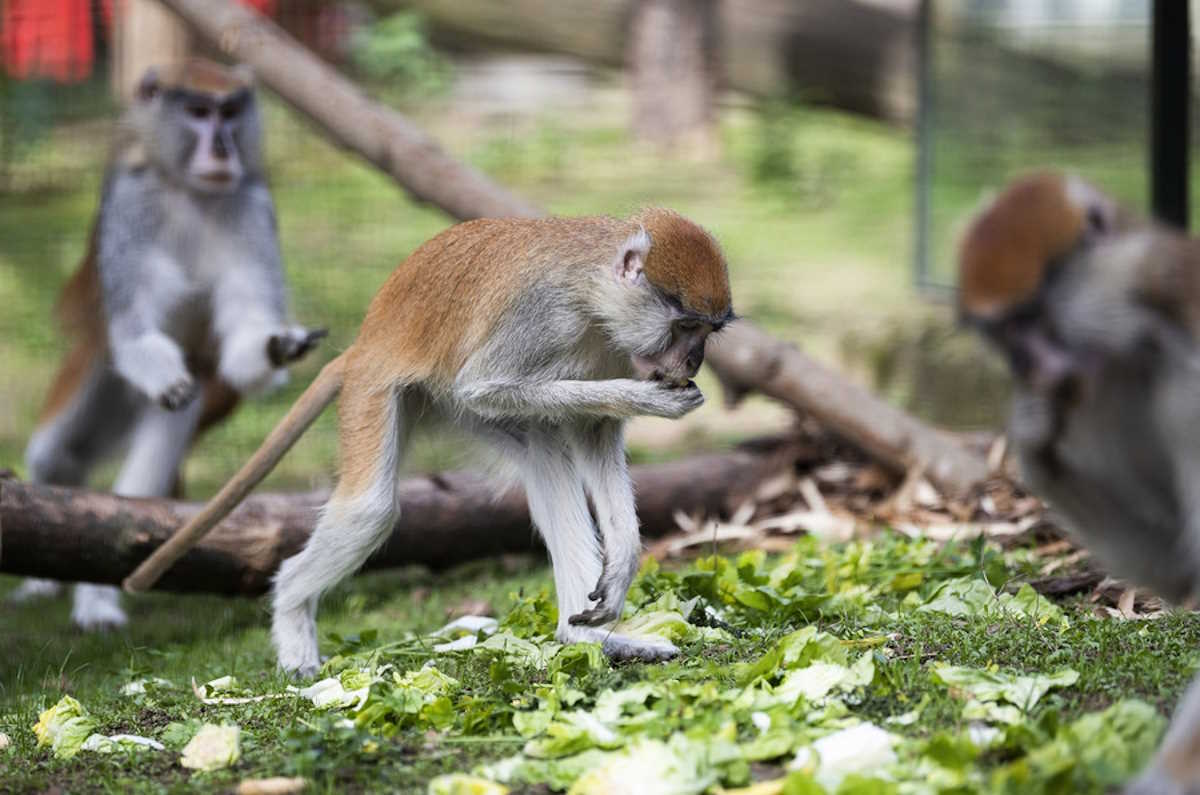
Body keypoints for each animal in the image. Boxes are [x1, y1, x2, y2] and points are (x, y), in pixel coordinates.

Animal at [15, 59, 324, 634]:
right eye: (198, 111)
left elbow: (244, 337)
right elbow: (135, 331)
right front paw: (164, 375)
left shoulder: (252, 208)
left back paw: (96, 595)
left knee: (144, 466)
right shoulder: (130, 210)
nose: (223, 147)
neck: (190, 193)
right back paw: (46, 581)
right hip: (95, 371)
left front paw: (275, 346)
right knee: (57, 454)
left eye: (230, 111)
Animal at [126, 208, 734, 677]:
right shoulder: (540, 316)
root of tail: (365, 342)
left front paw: (624, 559)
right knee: (371, 510)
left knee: (545, 455)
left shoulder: (612, 346)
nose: (692, 361)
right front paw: (654, 400)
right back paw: (293, 615)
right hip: (375, 391)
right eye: (684, 327)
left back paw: (586, 640)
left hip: (439, 404)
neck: (593, 289)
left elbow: (593, 432)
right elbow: (487, 386)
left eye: (708, 332)